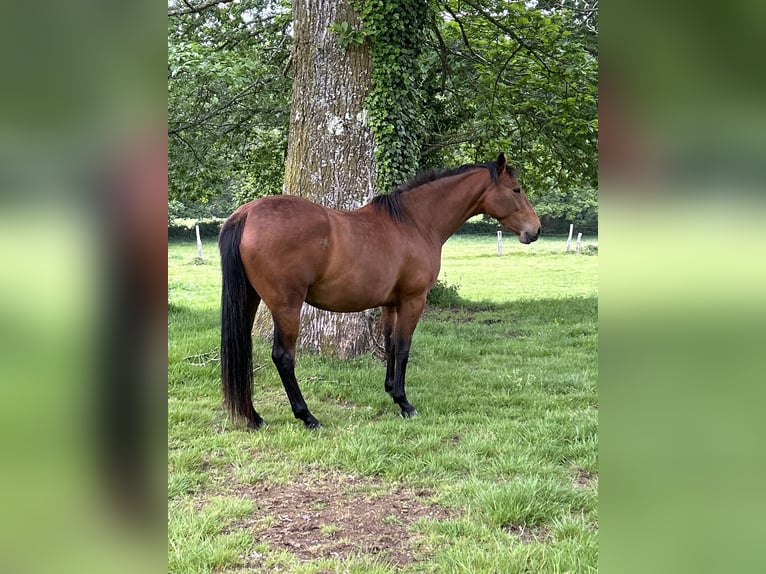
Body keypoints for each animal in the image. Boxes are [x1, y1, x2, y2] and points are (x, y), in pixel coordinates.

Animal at [219, 151, 544, 430]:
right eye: (516, 190)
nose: (536, 230)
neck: (415, 222)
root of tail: (246, 214)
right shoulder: (413, 301)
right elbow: (403, 347)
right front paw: (405, 403)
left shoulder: (390, 303)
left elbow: (389, 344)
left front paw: (390, 392)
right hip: (287, 306)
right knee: (283, 357)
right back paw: (307, 417)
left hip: (251, 299)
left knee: (246, 349)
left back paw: (253, 416)